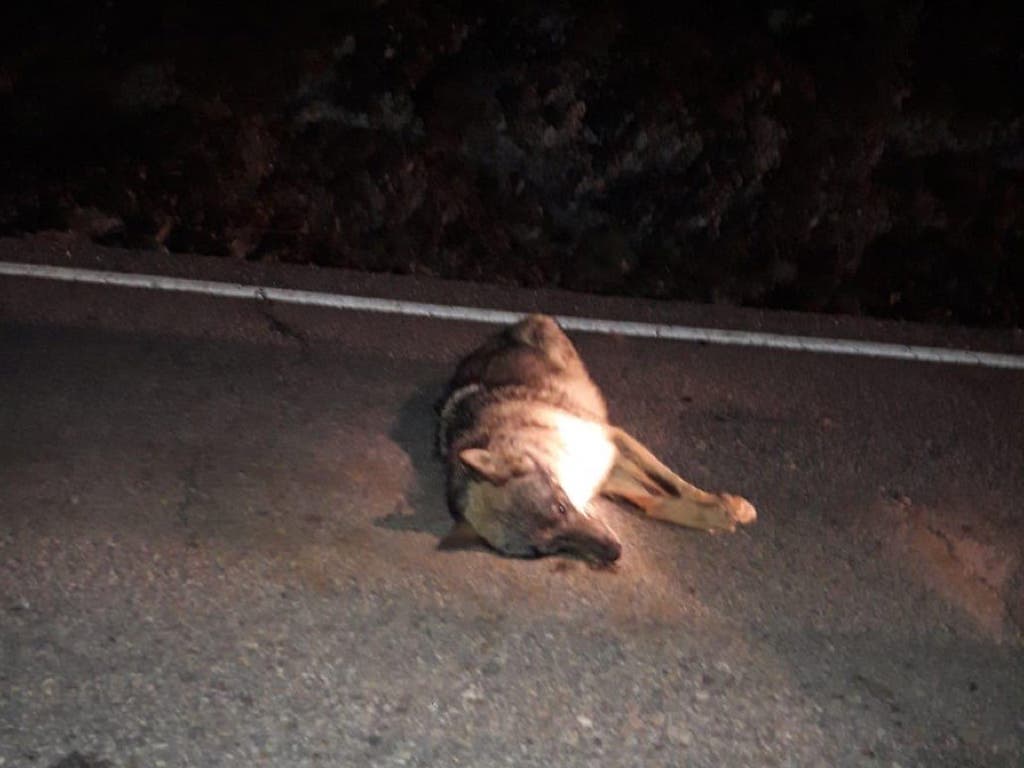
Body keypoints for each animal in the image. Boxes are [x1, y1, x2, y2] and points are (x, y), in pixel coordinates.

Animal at [437, 314, 755, 564]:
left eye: (561, 507)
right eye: (547, 551)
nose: (614, 553)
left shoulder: (616, 442)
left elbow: (673, 483)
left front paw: (723, 505)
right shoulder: (609, 474)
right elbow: (655, 502)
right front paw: (714, 516)